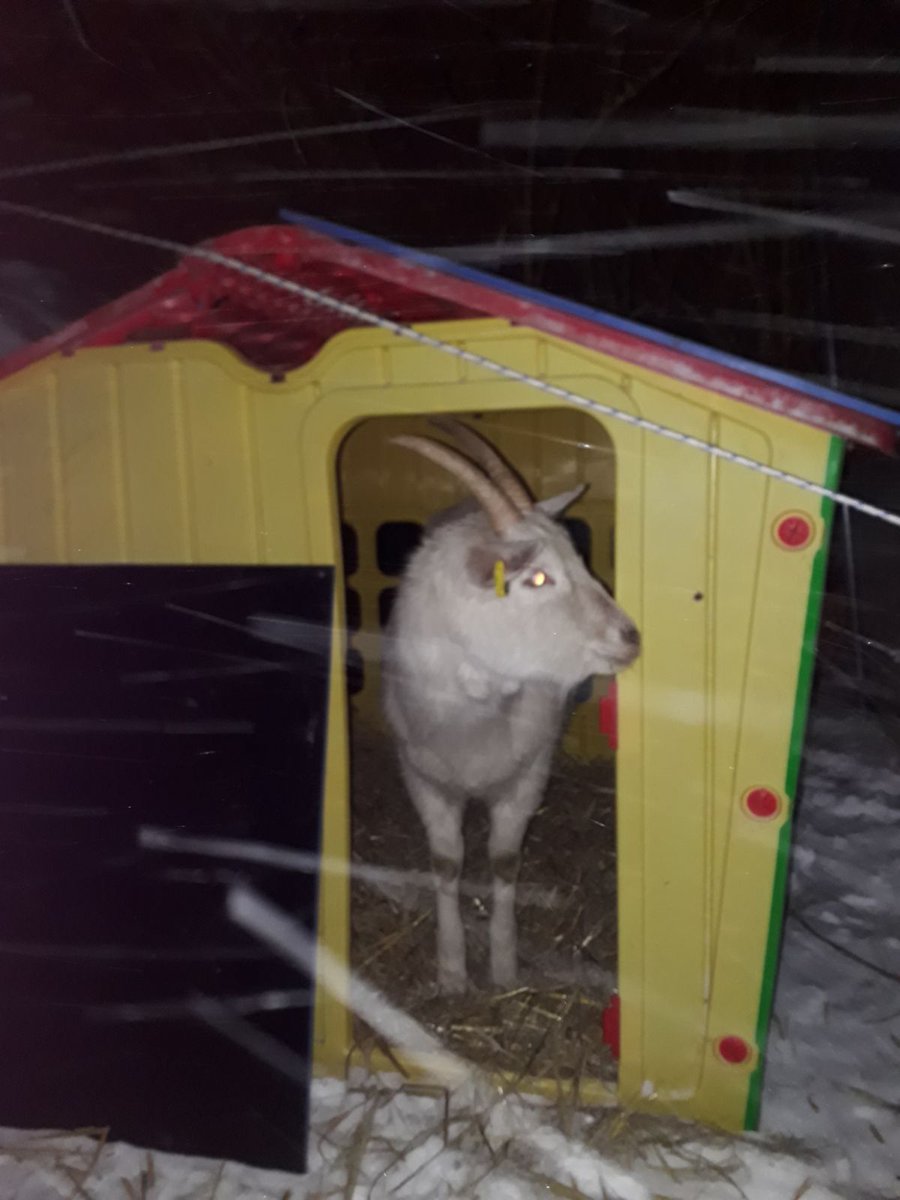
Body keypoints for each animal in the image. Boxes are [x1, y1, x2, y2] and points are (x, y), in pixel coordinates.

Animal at [381, 417, 640, 993]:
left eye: (579, 558)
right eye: (537, 577)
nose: (630, 637)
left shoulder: (528, 774)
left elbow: (503, 862)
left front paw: (503, 966)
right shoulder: (422, 776)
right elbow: (446, 863)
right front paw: (452, 971)